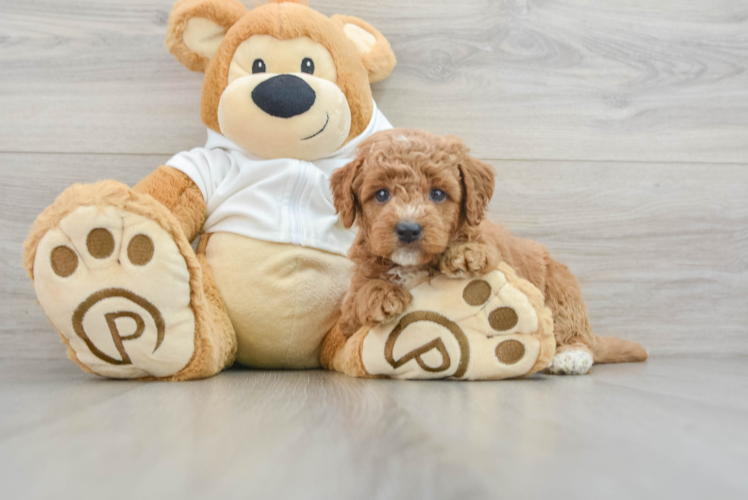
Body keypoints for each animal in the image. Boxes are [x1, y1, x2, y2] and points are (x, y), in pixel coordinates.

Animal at [330, 129, 644, 376]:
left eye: (438, 194)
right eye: (381, 194)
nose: (408, 229)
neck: (412, 266)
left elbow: (482, 247)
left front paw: (466, 252)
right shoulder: (348, 315)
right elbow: (357, 299)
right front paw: (381, 295)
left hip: (560, 285)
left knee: (572, 326)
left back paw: (570, 356)